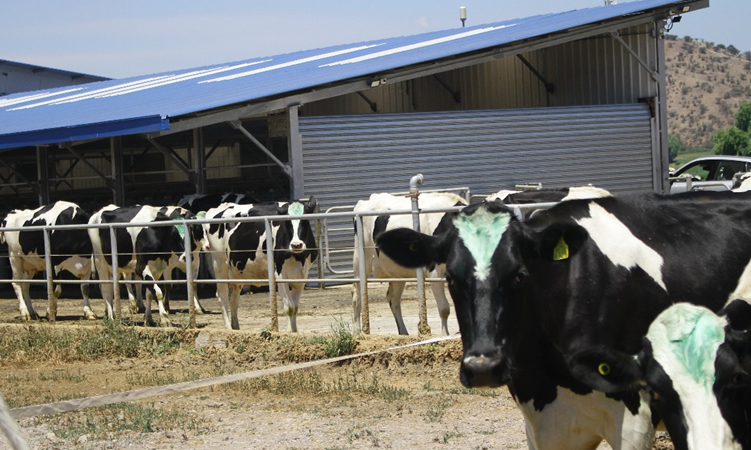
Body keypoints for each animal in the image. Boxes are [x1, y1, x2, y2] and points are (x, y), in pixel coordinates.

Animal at [203, 197, 318, 330]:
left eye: (305, 221)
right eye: (287, 222)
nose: (296, 244)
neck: (298, 258)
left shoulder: (302, 275)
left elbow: (295, 308)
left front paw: (293, 331)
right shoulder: (279, 273)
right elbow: (289, 307)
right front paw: (290, 332)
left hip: (236, 273)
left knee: (233, 300)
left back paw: (236, 328)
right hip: (219, 265)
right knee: (222, 297)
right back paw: (228, 329)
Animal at [352, 192, 468, 336]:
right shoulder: (434, 272)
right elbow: (444, 308)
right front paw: (444, 335)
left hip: (397, 272)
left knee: (393, 300)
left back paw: (403, 332)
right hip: (360, 261)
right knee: (357, 296)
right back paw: (357, 331)